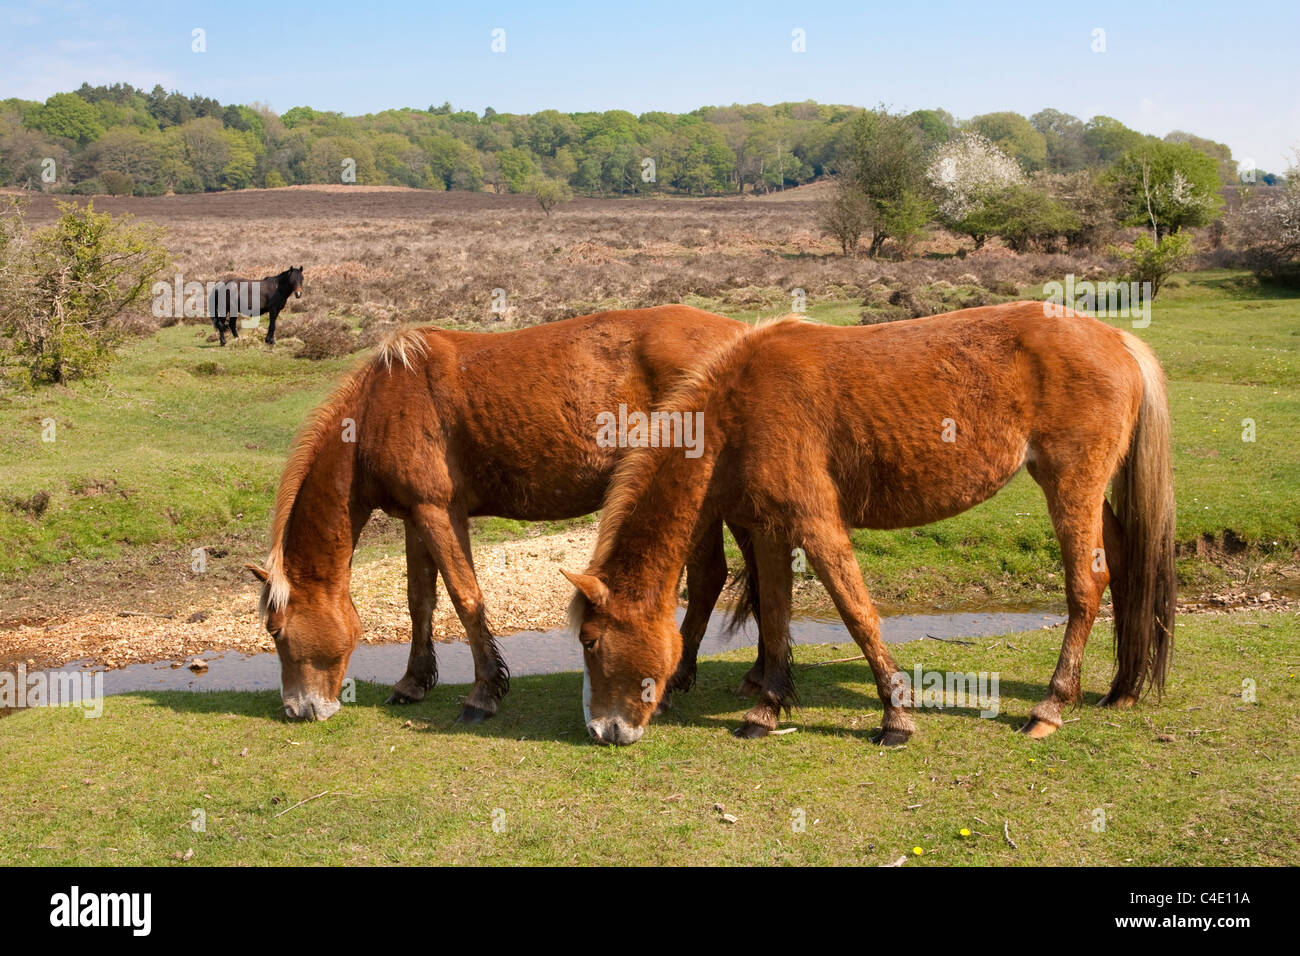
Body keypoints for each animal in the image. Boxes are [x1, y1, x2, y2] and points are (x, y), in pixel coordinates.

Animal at [246, 305, 759, 722]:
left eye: (276, 631)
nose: (297, 709)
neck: (381, 405)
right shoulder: (416, 517)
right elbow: (420, 601)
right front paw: (414, 682)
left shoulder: (440, 514)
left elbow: (465, 597)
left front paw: (485, 692)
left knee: (711, 578)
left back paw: (679, 682)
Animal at [565, 301, 1175, 746]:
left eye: (591, 641)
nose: (602, 730)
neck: (738, 409)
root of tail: (1119, 340)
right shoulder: (770, 529)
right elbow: (776, 617)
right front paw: (767, 709)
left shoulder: (816, 524)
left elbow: (857, 613)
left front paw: (896, 717)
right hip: (1092, 495)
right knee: (1125, 567)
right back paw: (1121, 687)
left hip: (1070, 487)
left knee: (1086, 587)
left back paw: (1050, 705)